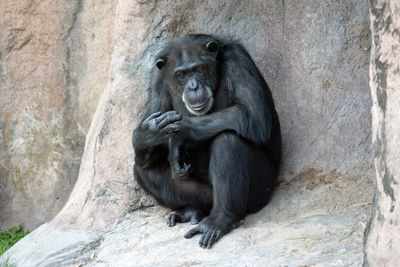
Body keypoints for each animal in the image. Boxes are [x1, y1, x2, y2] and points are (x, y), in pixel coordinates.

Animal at [131, 33, 282, 249]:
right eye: (181, 75)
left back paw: (220, 219)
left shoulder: (238, 58)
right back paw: (190, 210)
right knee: (143, 167)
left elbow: (254, 114)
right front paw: (151, 133)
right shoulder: (157, 79)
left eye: (198, 69)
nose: (193, 86)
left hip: (261, 192)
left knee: (229, 140)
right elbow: (151, 119)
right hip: (204, 196)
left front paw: (181, 134)